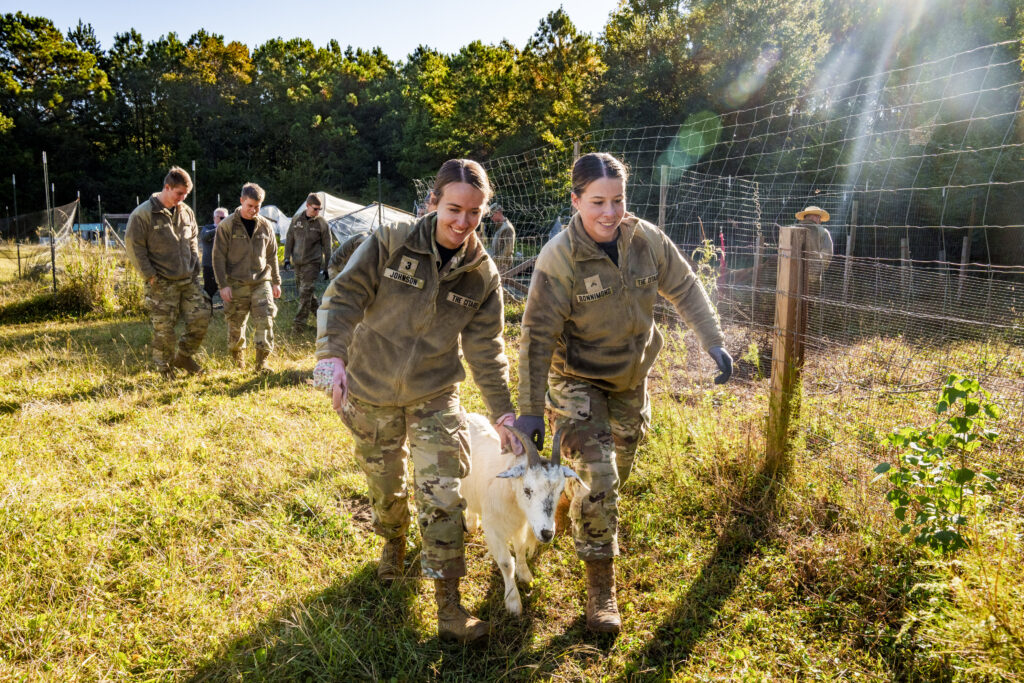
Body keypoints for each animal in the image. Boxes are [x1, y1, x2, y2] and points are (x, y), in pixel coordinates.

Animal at [462, 413, 585, 618]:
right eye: (527, 490)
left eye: (560, 491)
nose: (547, 534)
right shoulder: (493, 529)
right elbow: (506, 563)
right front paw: (513, 602)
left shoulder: (520, 526)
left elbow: (520, 550)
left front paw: (525, 575)